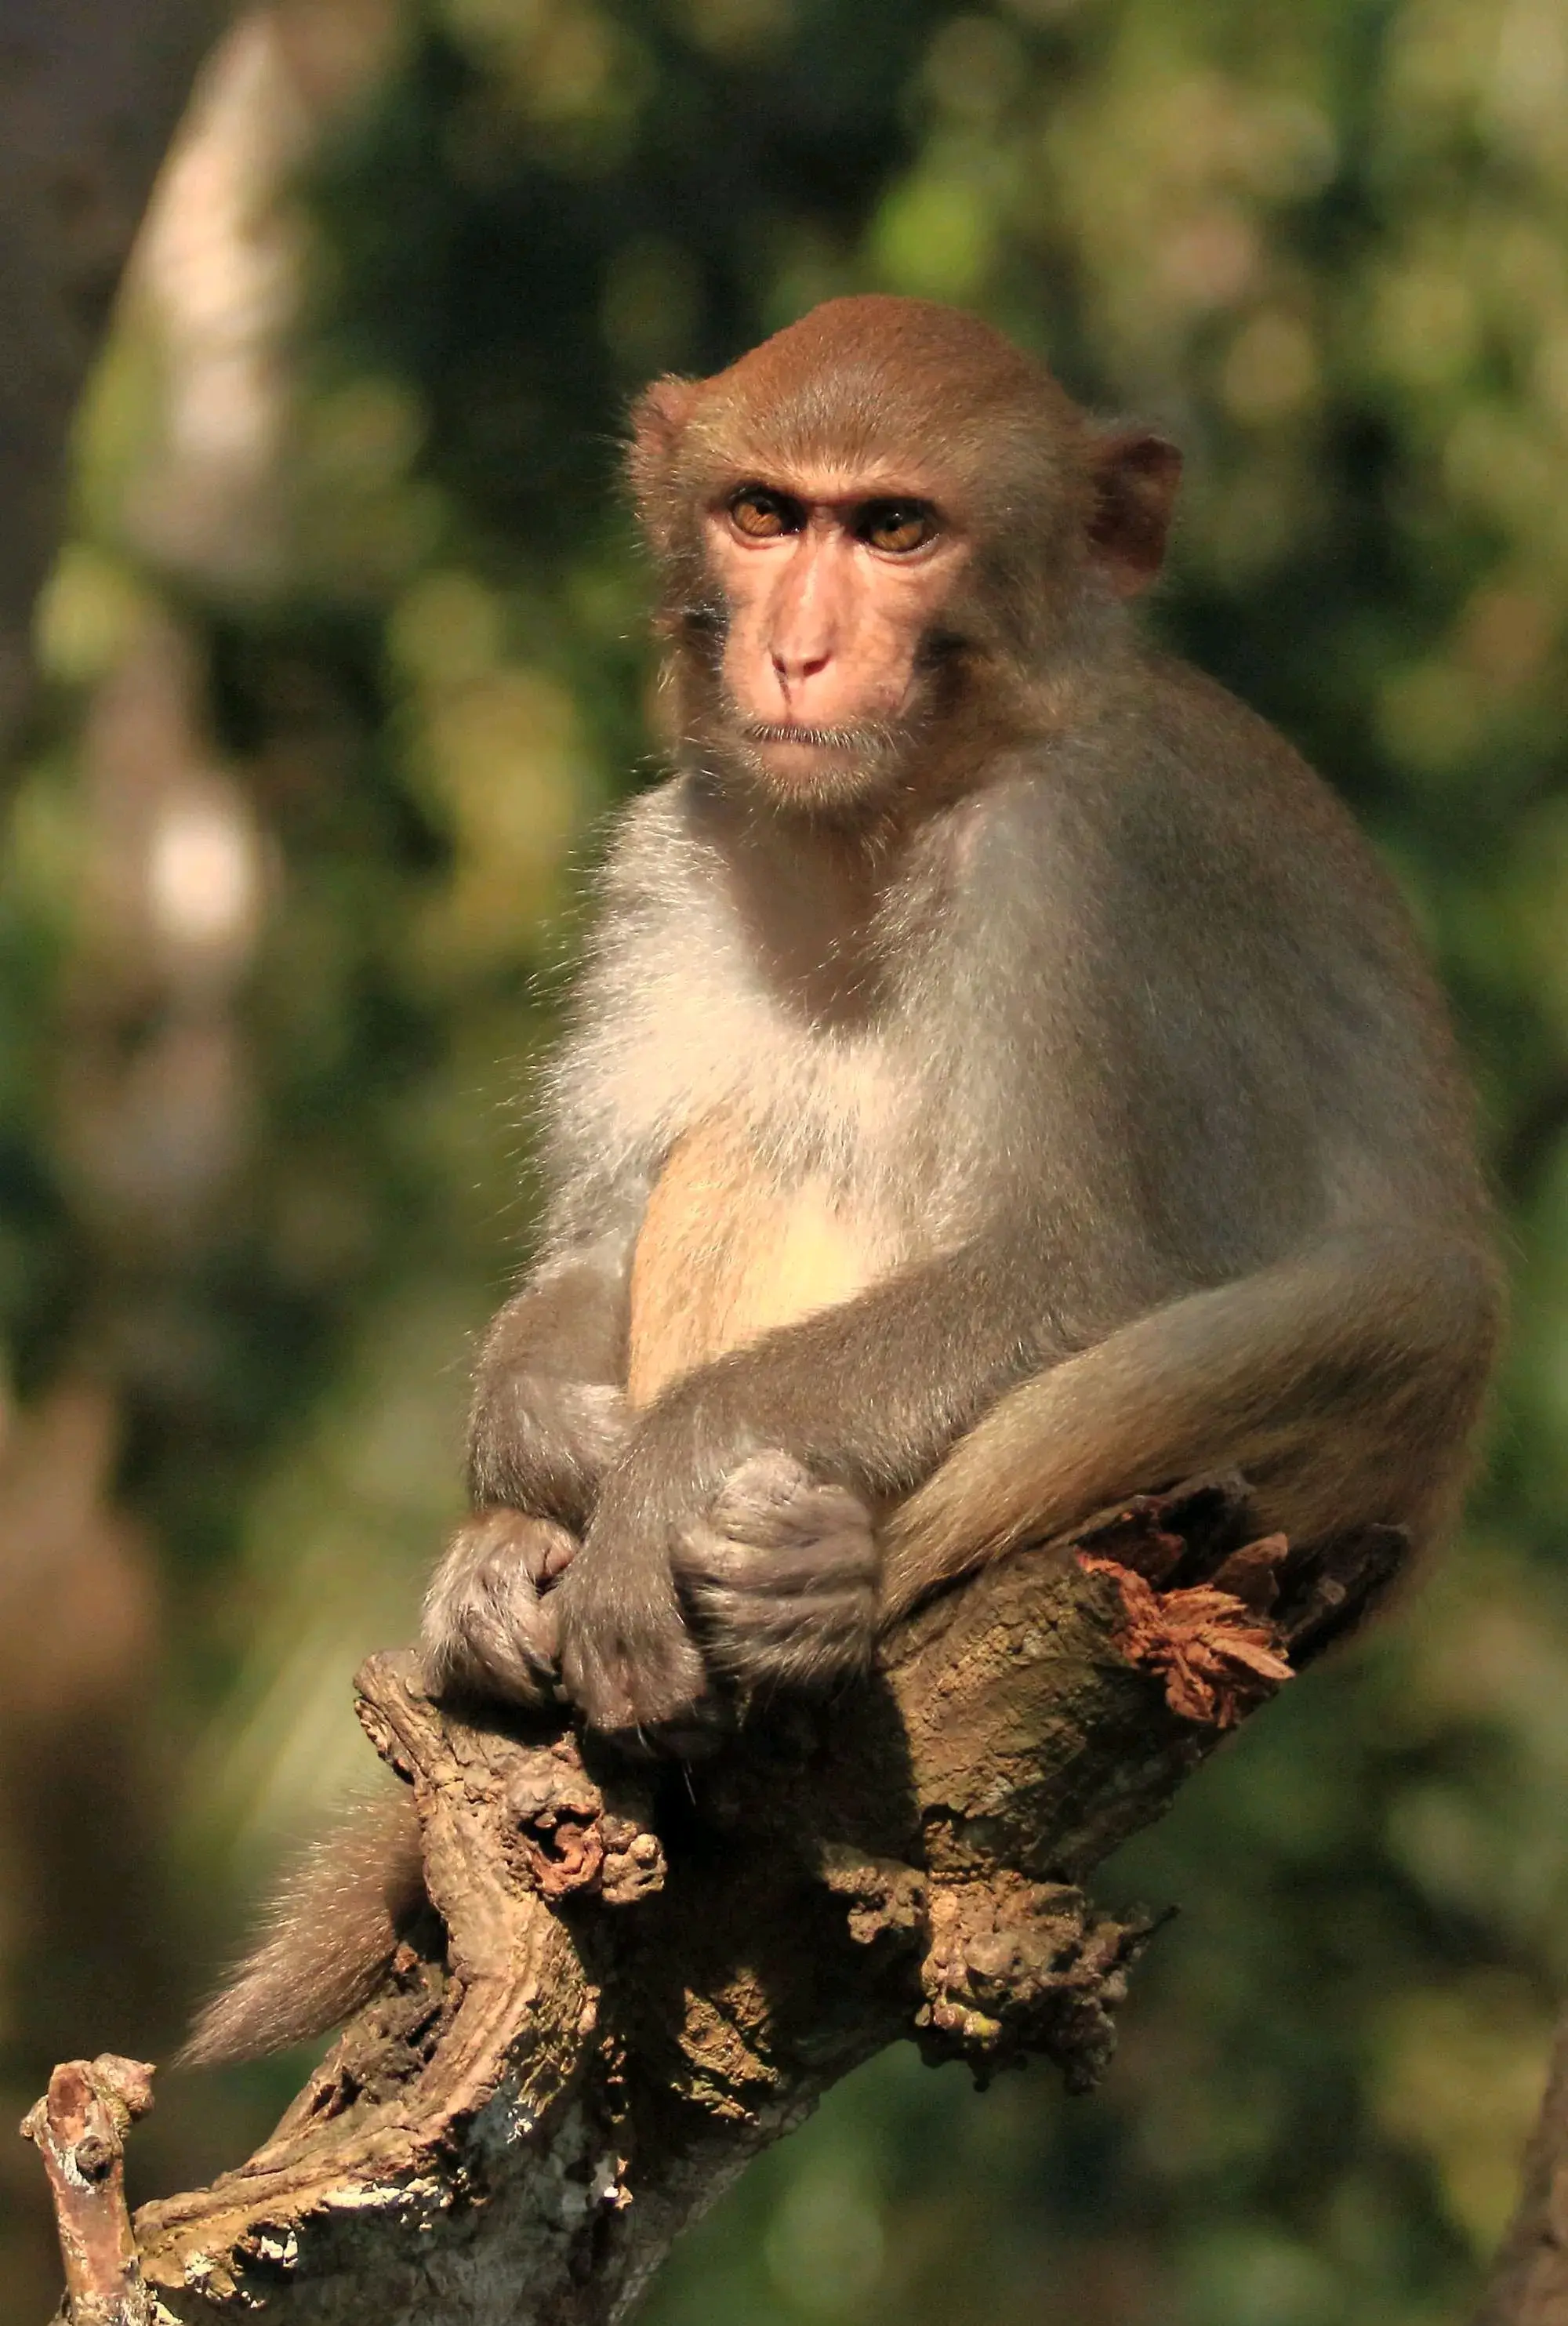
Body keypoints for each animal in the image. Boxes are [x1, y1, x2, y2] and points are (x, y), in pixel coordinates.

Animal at [186, 299, 1497, 2065]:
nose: (796, 654)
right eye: (764, 515)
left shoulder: (1077, 867)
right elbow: (599, 1237)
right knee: (743, 1133)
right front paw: (536, 1467)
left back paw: (816, 1587)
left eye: (894, 530)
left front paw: (658, 1479)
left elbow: (1074, 1266)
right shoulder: (686, 842)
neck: (900, 803)